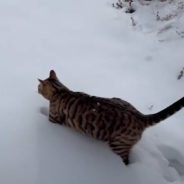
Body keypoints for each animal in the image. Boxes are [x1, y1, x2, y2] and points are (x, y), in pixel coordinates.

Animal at [37, 70, 184, 165]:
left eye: (38, 86)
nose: (36, 88)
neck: (60, 90)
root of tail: (140, 116)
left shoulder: (53, 118)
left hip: (118, 145)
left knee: (126, 161)